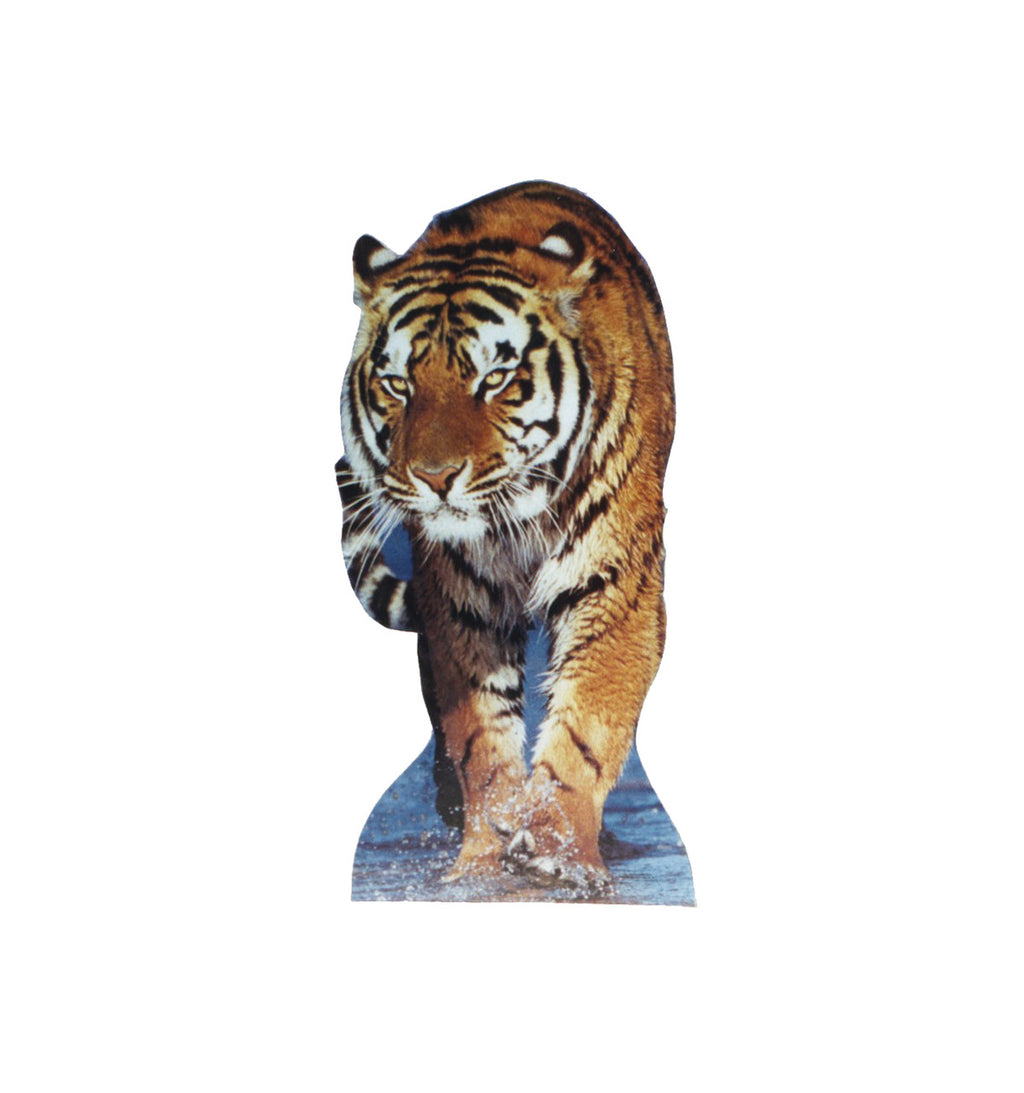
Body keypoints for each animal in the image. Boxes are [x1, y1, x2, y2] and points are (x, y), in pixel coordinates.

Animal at [337, 181, 674, 893]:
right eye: (398, 385)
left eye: (493, 379)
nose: (435, 477)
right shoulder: (460, 599)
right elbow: (478, 737)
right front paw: (485, 860)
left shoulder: (615, 585)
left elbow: (586, 723)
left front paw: (555, 849)